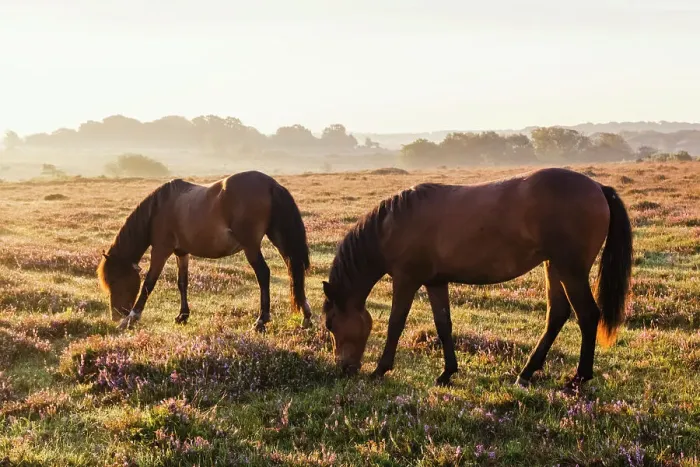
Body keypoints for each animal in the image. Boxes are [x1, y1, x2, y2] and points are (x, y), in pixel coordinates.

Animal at [97, 171, 312, 332]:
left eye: (114, 280)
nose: (115, 316)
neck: (158, 209)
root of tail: (271, 184)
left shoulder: (161, 250)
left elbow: (148, 284)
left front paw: (131, 318)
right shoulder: (181, 252)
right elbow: (182, 283)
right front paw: (182, 315)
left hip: (251, 246)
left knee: (264, 274)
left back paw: (261, 321)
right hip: (280, 239)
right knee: (294, 270)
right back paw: (306, 317)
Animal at [321, 167, 633, 389]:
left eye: (330, 324)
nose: (344, 368)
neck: (392, 225)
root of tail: (598, 188)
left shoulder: (406, 279)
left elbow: (395, 323)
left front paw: (380, 369)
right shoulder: (435, 281)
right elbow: (443, 325)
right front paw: (447, 372)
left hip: (570, 270)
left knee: (588, 315)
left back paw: (578, 378)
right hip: (553, 266)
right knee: (557, 314)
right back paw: (526, 373)